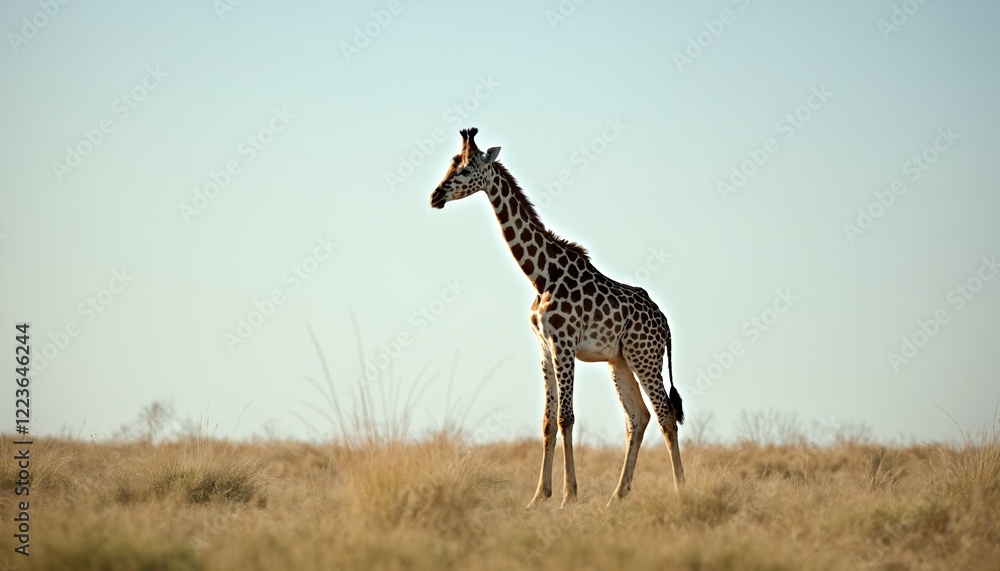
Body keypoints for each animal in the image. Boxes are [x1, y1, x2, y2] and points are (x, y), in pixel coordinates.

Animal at [430, 128, 685, 508]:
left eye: (465, 168)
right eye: (450, 164)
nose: (435, 196)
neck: (539, 275)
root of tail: (666, 324)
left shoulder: (563, 343)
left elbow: (567, 417)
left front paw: (568, 495)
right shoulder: (543, 347)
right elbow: (548, 421)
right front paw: (539, 496)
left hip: (645, 356)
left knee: (665, 414)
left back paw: (682, 490)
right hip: (620, 361)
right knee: (637, 418)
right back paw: (616, 496)